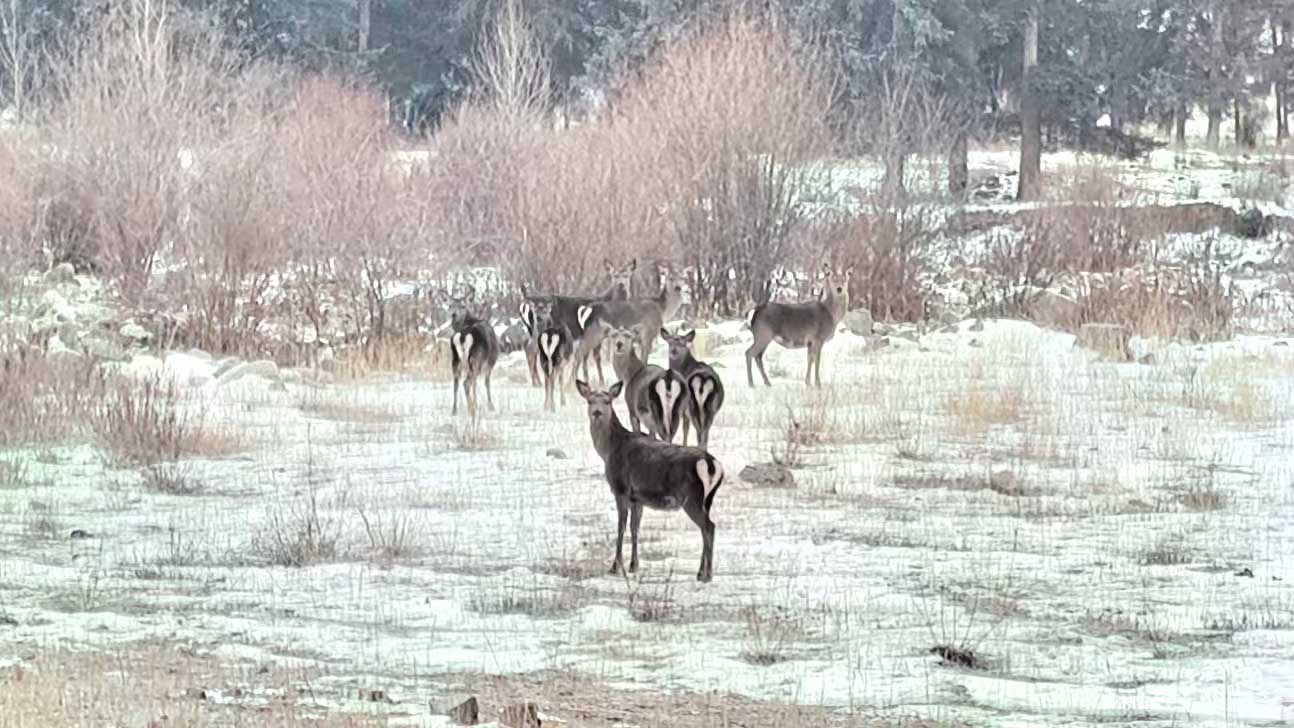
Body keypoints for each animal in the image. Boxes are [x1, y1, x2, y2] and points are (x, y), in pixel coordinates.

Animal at [447, 288, 502, 418]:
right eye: (450, 305)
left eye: (462, 306)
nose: (453, 315)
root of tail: (462, 336)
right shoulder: (490, 362)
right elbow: (486, 382)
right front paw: (490, 406)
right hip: (476, 359)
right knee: (467, 383)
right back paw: (473, 408)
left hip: (455, 359)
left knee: (456, 382)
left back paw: (454, 410)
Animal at [579, 380, 729, 584]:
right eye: (589, 401)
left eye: (607, 401)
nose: (596, 412)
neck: (609, 450)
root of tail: (711, 464)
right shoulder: (637, 497)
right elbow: (635, 528)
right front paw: (634, 566)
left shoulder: (621, 488)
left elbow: (621, 526)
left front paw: (615, 567)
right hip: (707, 499)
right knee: (707, 528)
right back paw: (700, 573)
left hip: (691, 498)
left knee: (709, 527)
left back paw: (707, 574)